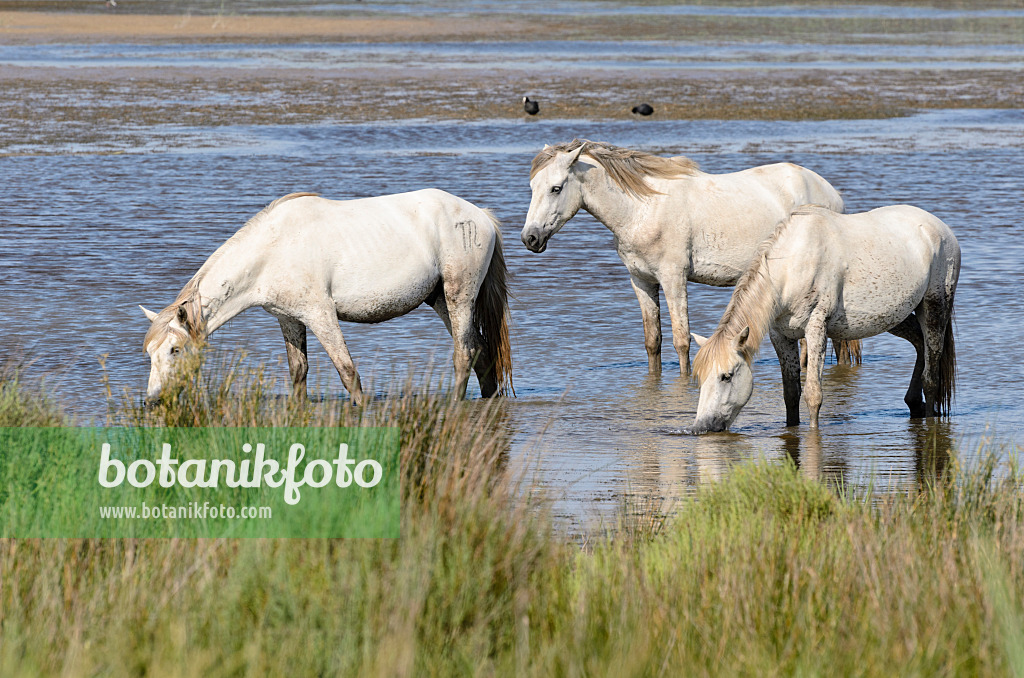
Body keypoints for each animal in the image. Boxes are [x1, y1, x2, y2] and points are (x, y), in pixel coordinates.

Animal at [138, 188, 512, 405]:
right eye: (150, 354)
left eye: (175, 350)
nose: (153, 399)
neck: (272, 250)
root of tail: (480, 215)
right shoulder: (289, 319)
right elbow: (298, 372)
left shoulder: (320, 315)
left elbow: (348, 372)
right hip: (439, 299)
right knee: (480, 351)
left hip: (458, 296)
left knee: (464, 354)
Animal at [520, 137, 856, 372]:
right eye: (532, 187)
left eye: (556, 188)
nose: (530, 238)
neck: (642, 208)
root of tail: (830, 193)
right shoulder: (641, 281)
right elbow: (652, 341)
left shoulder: (673, 278)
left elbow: (681, 340)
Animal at [688, 202, 958, 436]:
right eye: (700, 378)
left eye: (726, 376)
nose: (702, 427)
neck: (790, 269)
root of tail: (942, 229)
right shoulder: (780, 335)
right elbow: (791, 393)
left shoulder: (816, 328)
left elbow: (813, 394)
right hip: (895, 316)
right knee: (919, 344)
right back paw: (913, 404)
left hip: (934, 307)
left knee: (931, 376)